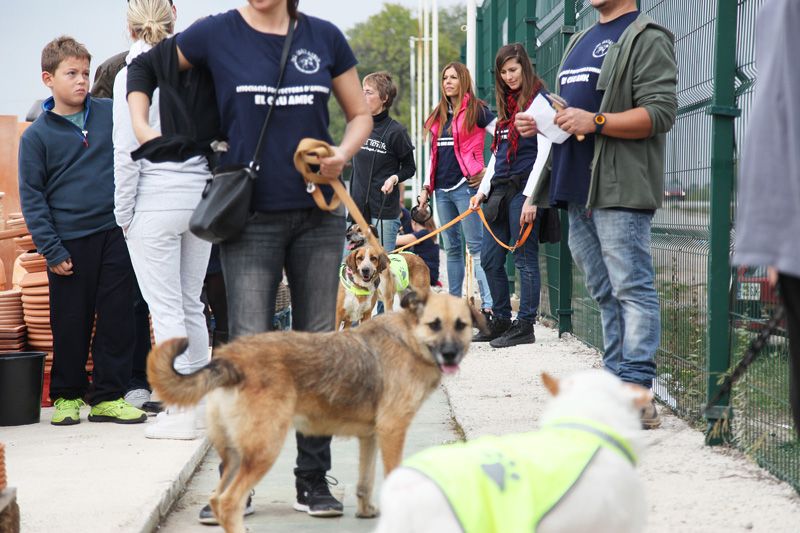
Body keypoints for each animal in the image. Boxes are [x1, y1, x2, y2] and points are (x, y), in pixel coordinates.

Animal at [147, 291, 488, 533]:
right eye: (434, 325)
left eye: (461, 325)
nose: (450, 354)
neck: (410, 338)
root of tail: (231, 360)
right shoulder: (393, 431)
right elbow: (393, 479)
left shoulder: (371, 436)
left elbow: (365, 482)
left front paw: (366, 512)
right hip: (264, 448)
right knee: (230, 502)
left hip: (235, 455)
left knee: (218, 499)